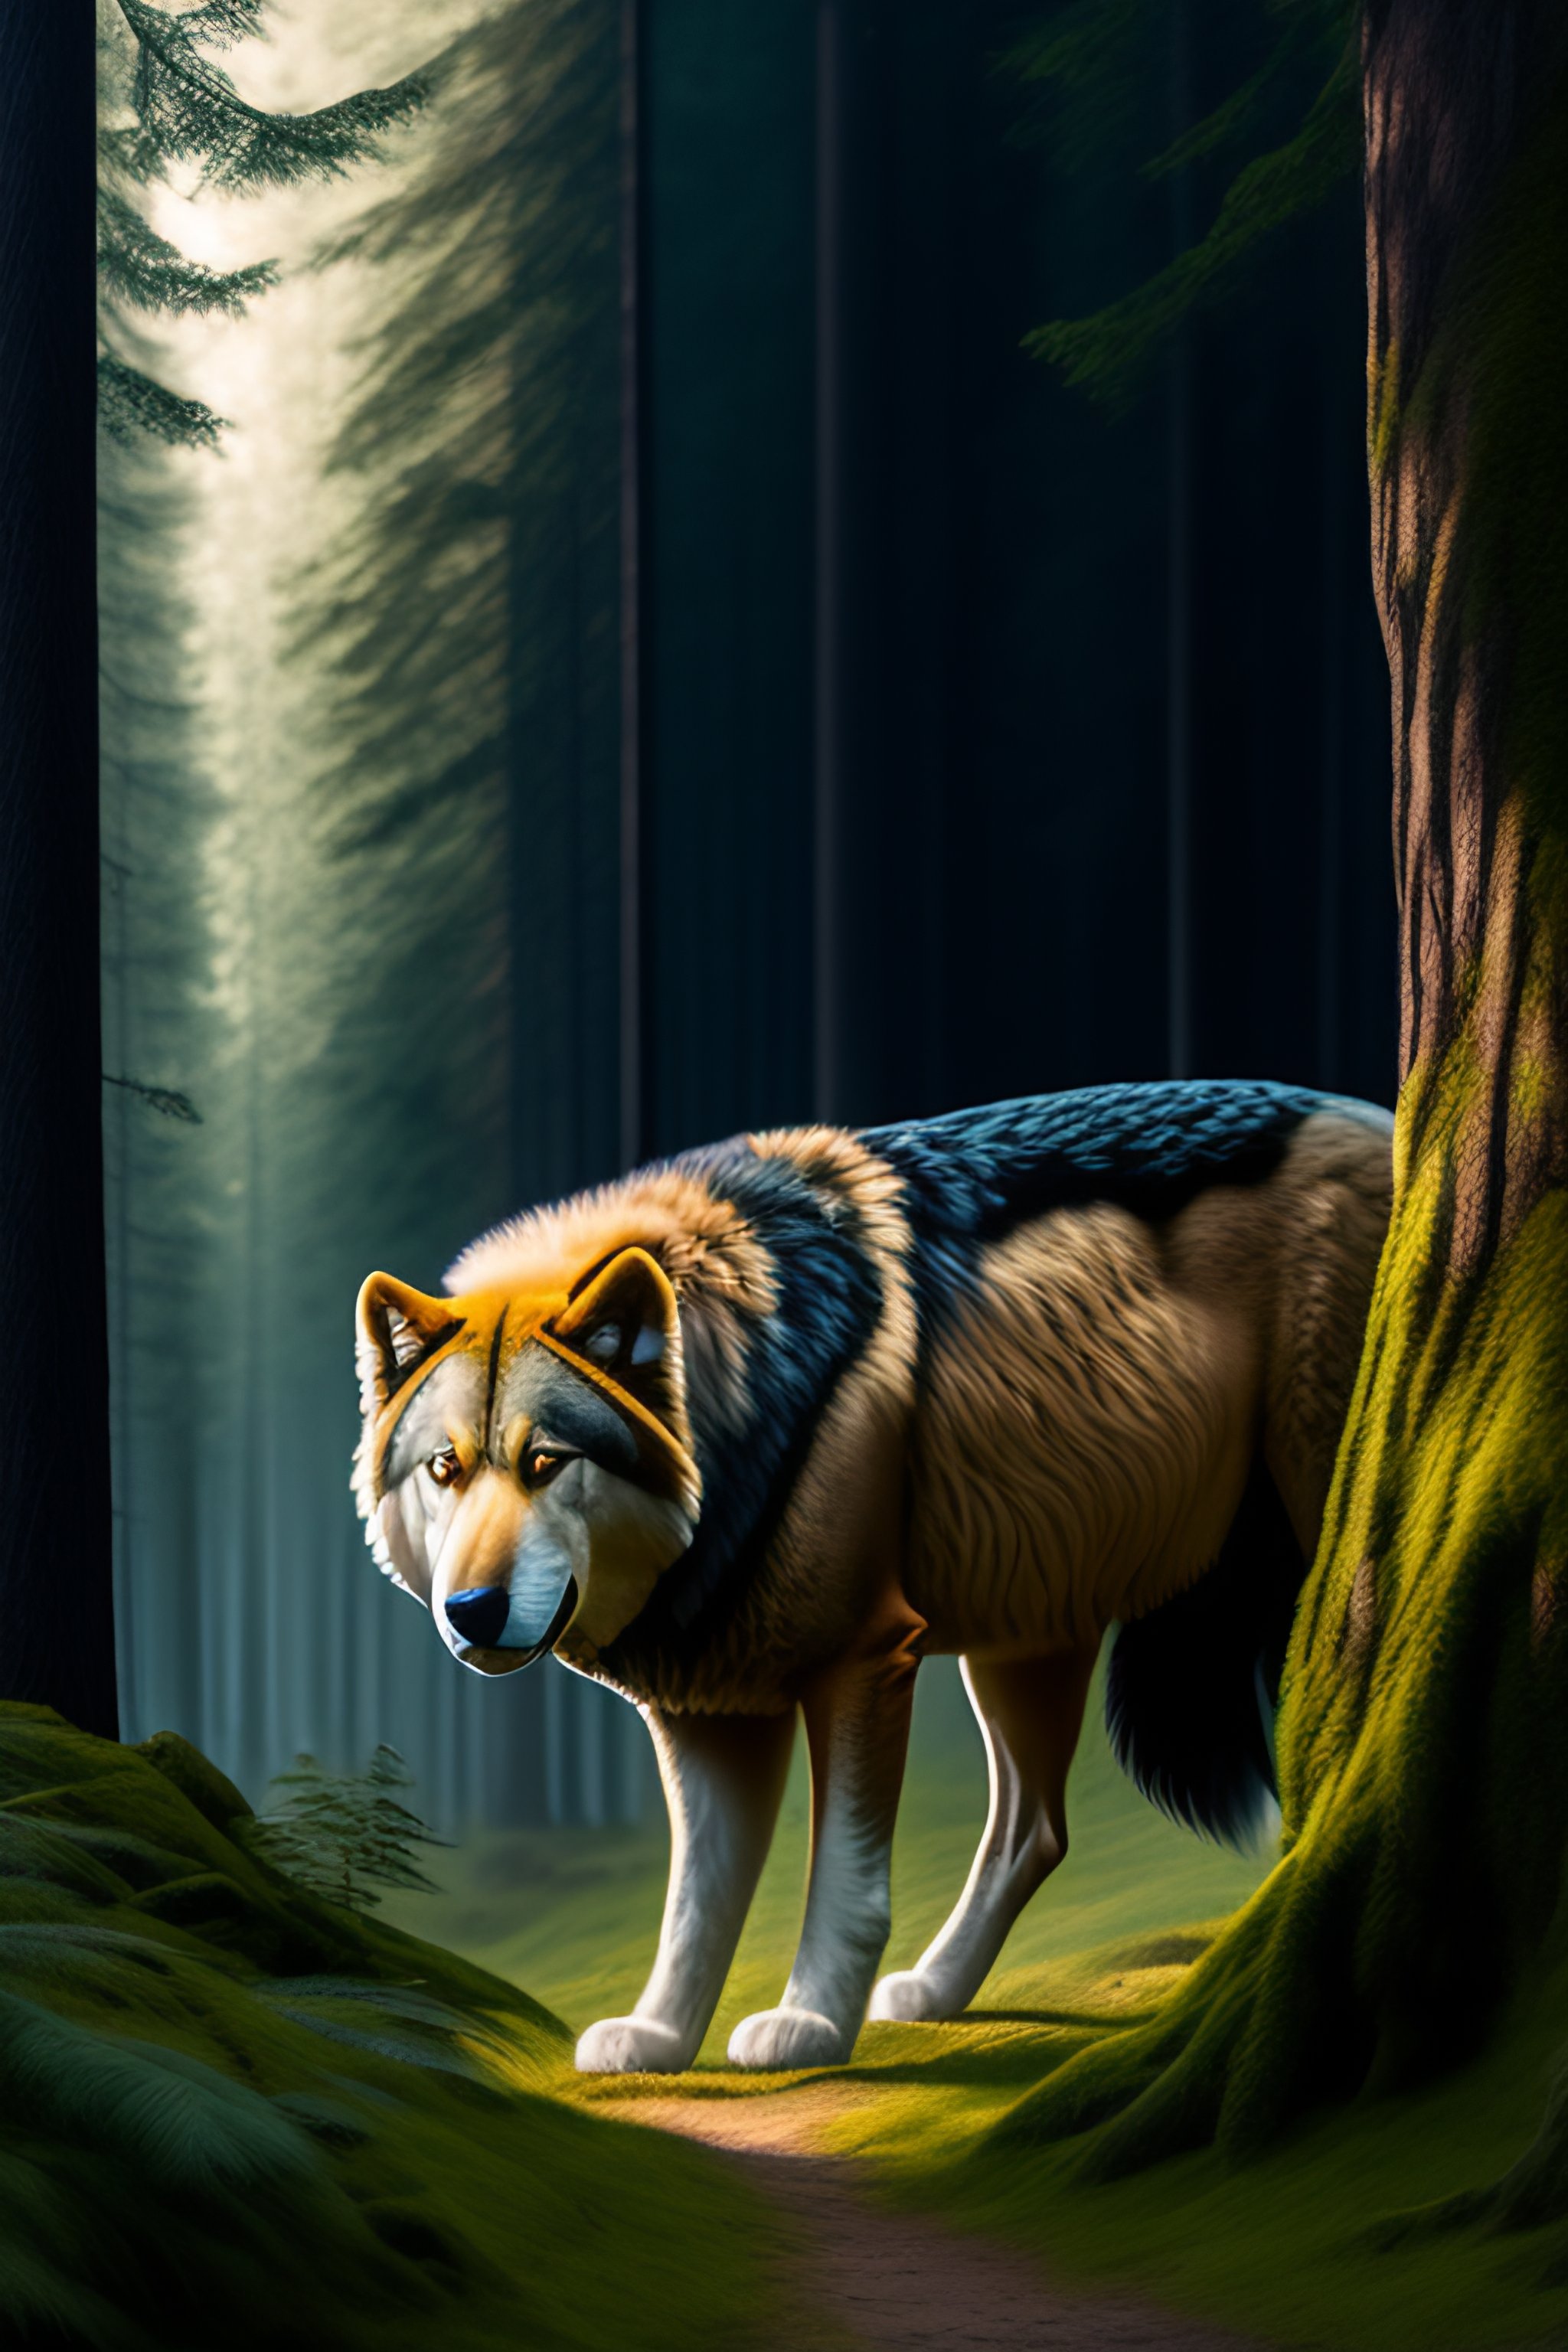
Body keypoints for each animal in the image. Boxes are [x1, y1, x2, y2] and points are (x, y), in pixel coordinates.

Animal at [354, 1080, 1391, 2074]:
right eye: (445, 1468)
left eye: (545, 1462)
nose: (469, 1611)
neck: (750, 1402)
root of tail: (1382, 1115)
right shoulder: (706, 1710)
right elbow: (694, 1903)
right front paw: (658, 2040)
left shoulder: (861, 1663)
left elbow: (843, 1879)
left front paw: (809, 2022)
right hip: (1019, 1643)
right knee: (1035, 1828)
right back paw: (935, 1991)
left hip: (1303, 1551)